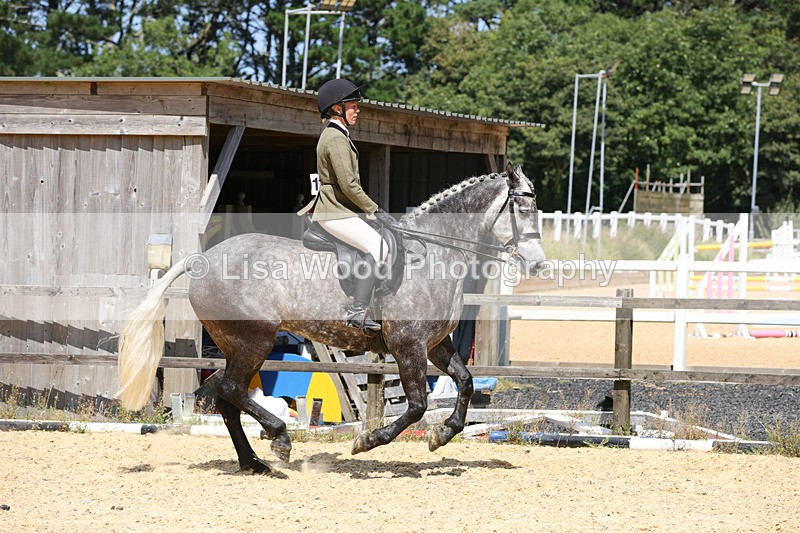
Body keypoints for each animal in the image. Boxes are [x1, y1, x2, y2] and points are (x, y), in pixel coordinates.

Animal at [117, 164, 545, 475]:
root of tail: (201, 259)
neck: (434, 254)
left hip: (235, 344)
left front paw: (441, 435)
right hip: (256, 340)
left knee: (227, 398)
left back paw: (253, 463)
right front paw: (367, 441)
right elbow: (417, 405)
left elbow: (466, 383)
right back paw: (279, 440)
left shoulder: (435, 344)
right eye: (523, 210)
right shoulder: (408, 345)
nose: (539, 265)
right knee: (234, 391)